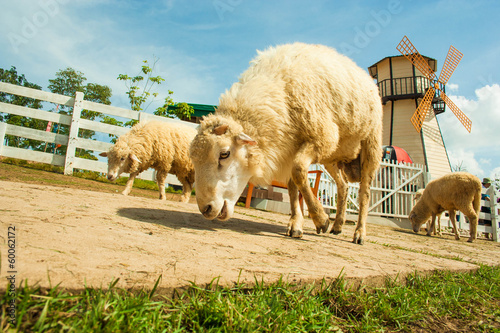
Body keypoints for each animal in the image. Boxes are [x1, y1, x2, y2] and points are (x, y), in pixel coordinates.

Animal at [189, 42, 380, 244]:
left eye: (224, 154)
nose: (206, 209)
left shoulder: (320, 137)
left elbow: (298, 171)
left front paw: (320, 219)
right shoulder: (290, 146)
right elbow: (293, 187)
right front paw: (296, 224)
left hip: (371, 143)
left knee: (365, 193)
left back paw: (359, 232)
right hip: (333, 156)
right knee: (343, 186)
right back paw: (338, 225)